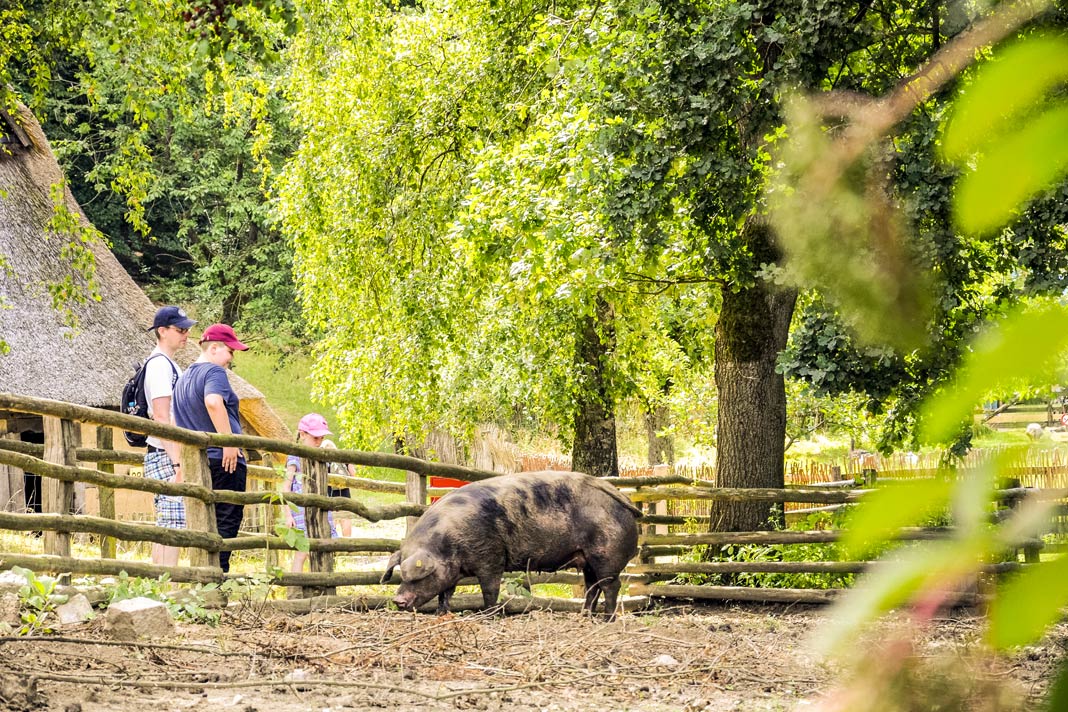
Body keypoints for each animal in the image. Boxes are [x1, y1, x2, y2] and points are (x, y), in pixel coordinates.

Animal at [380, 473, 636, 619]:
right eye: (401, 576)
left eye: (418, 577)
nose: (398, 600)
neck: (450, 541)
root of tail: (624, 499)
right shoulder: (451, 572)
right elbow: (445, 592)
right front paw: (442, 613)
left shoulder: (490, 556)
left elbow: (490, 589)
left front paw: (487, 615)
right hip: (587, 559)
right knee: (592, 586)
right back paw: (585, 616)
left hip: (605, 555)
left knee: (611, 586)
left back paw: (607, 619)